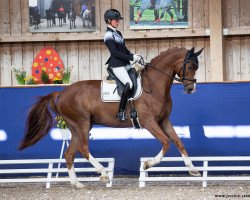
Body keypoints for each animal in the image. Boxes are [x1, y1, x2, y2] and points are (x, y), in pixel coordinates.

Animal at [19, 46, 203, 188]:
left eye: (197, 67)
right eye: (190, 66)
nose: (191, 89)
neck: (154, 85)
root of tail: (62, 93)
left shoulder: (163, 120)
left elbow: (178, 142)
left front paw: (193, 169)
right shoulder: (149, 122)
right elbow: (166, 142)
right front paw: (147, 164)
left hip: (76, 127)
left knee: (69, 153)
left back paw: (77, 184)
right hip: (82, 124)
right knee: (83, 148)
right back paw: (103, 173)